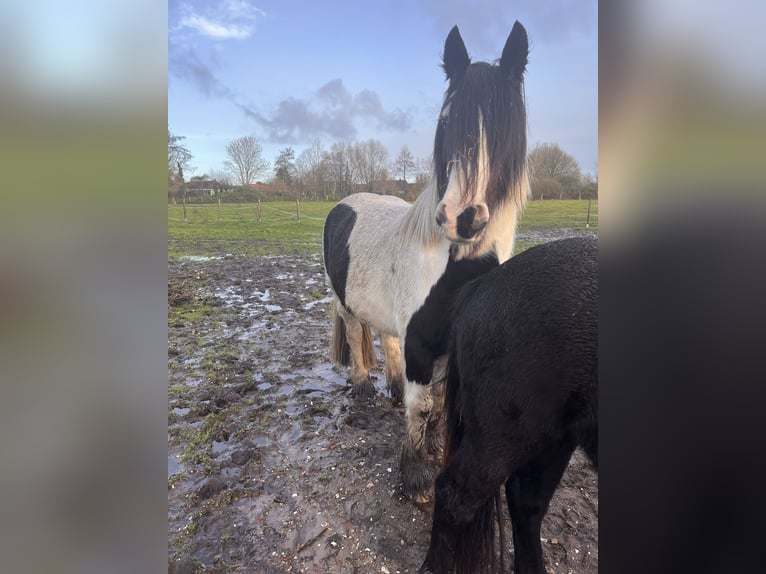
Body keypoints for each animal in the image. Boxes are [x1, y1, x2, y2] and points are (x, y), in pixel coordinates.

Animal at [322, 20, 528, 502]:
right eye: (447, 119)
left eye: (508, 124)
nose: (463, 217)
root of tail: (345, 202)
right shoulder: (420, 342)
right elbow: (423, 407)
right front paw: (415, 475)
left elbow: (437, 406)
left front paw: (433, 447)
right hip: (346, 303)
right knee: (357, 331)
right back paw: (363, 386)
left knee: (386, 338)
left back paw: (393, 386)